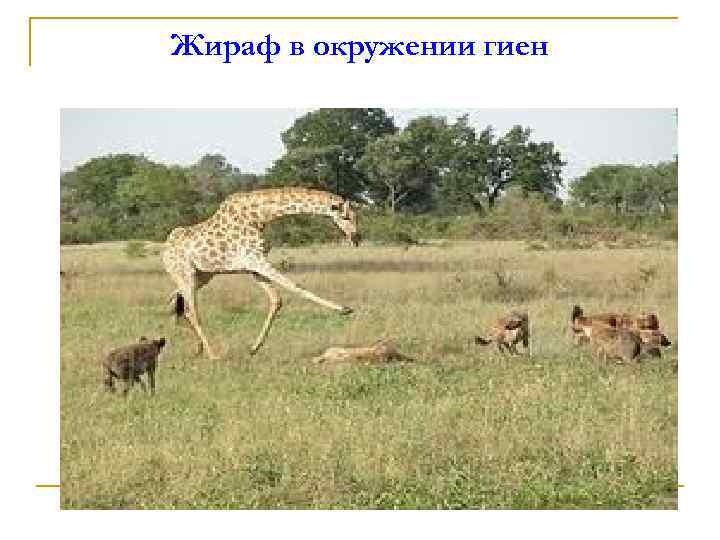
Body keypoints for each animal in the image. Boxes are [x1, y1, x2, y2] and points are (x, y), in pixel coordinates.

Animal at [162, 187, 360, 359]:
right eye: (345, 216)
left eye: (356, 216)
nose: (356, 238)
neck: (260, 216)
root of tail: (165, 250)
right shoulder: (255, 260)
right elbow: (295, 286)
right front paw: (344, 309)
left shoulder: (254, 266)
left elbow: (276, 300)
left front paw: (253, 348)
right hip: (185, 273)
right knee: (192, 311)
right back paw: (213, 354)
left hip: (202, 275)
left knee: (177, 301)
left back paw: (198, 348)